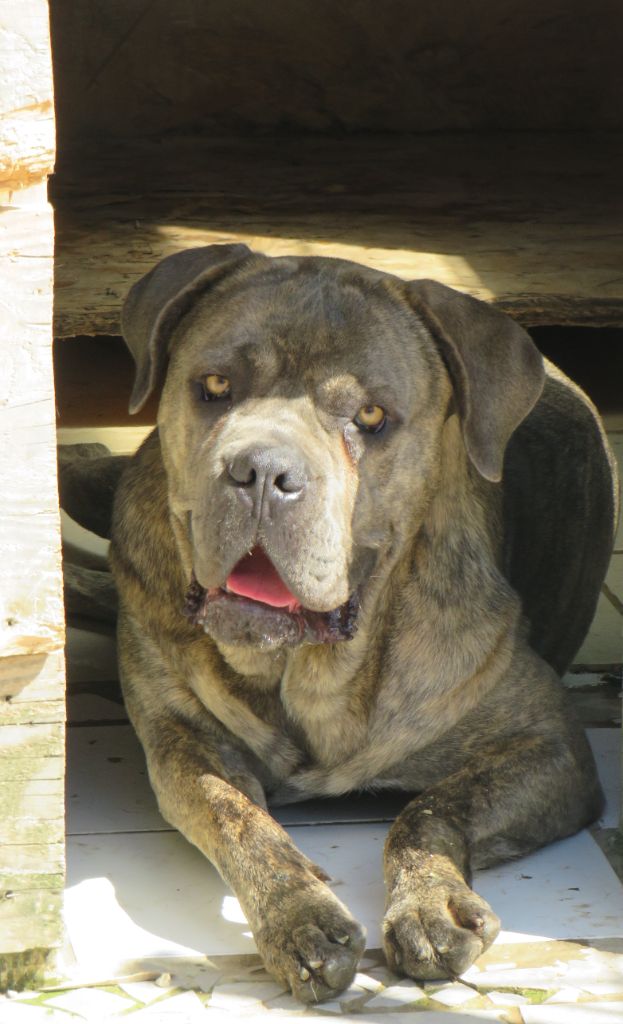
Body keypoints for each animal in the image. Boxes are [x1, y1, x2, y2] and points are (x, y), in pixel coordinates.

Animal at [108, 245, 618, 999]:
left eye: (371, 415)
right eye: (215, 385)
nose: (262, 470)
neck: (307, 674)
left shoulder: (550, 745)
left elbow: (428, 811)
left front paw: (432, 904)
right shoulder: (178, 739)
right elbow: (236, 817)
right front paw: (301, 917)